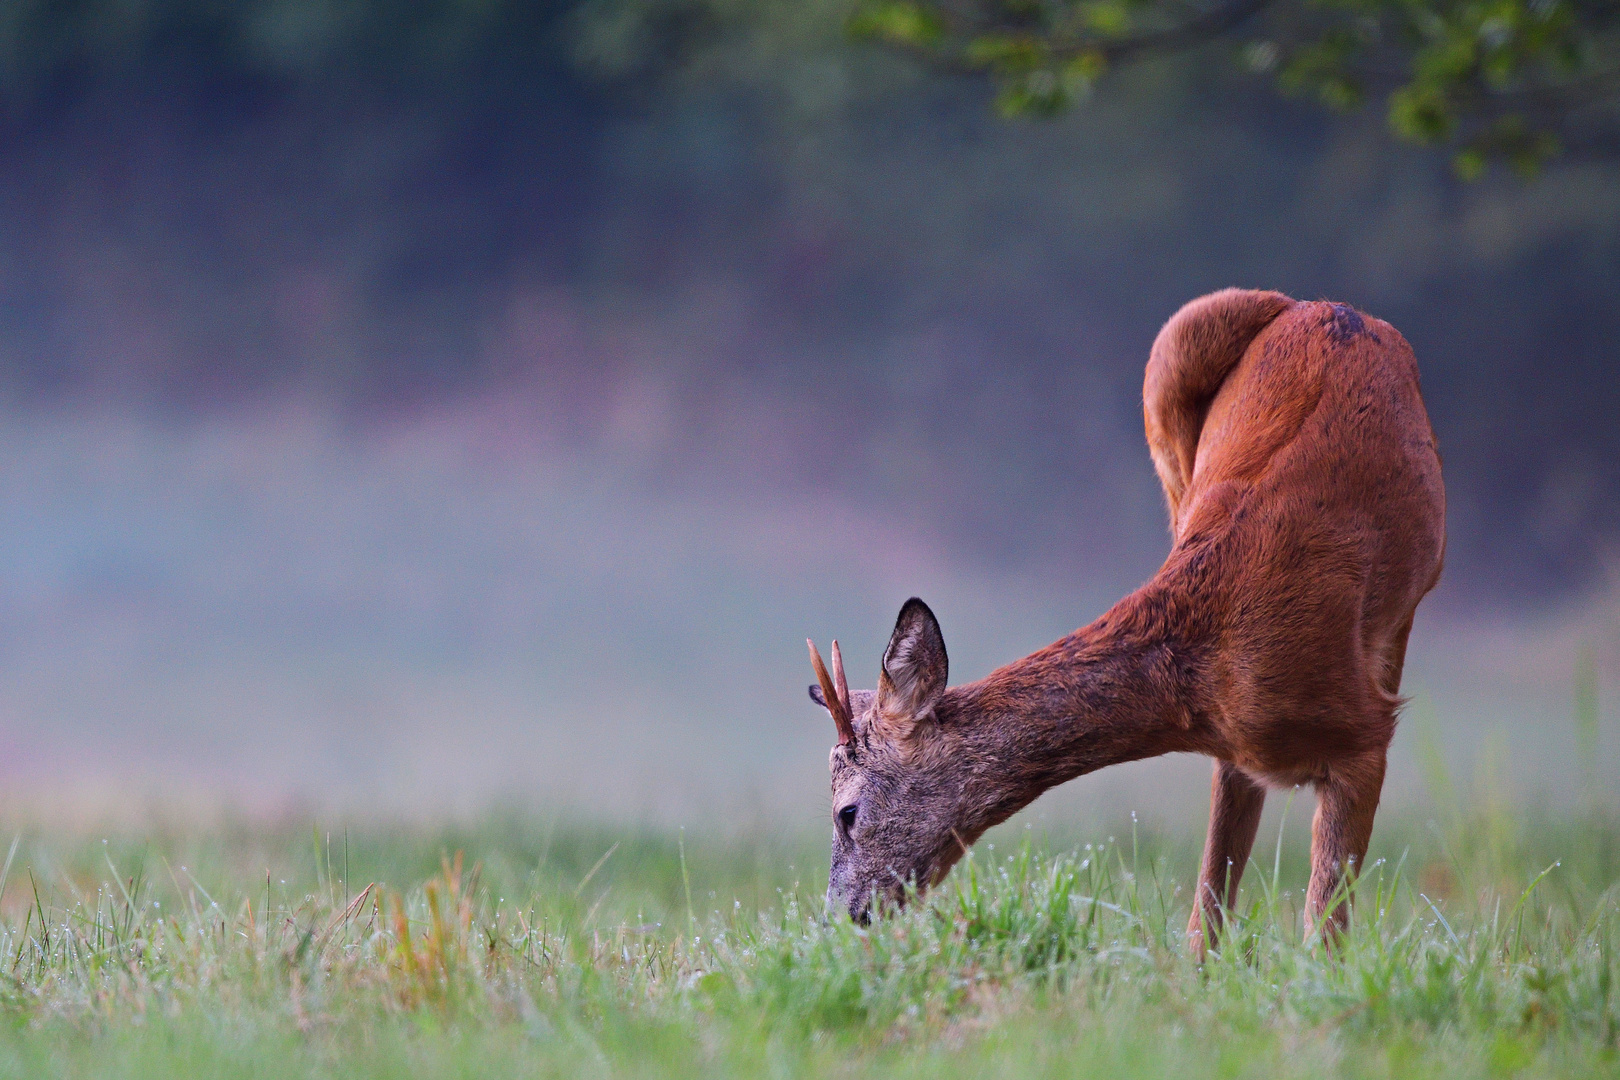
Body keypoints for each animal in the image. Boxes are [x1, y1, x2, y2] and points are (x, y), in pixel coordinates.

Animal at [803, 289, 1451, 952]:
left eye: (846, 812)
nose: (843, 917)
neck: (1209, 662)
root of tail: (1325, 306)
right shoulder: (1237, 754)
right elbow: (1208, 908)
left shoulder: (1364, 735)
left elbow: (1325, 931)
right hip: (1171, 394)